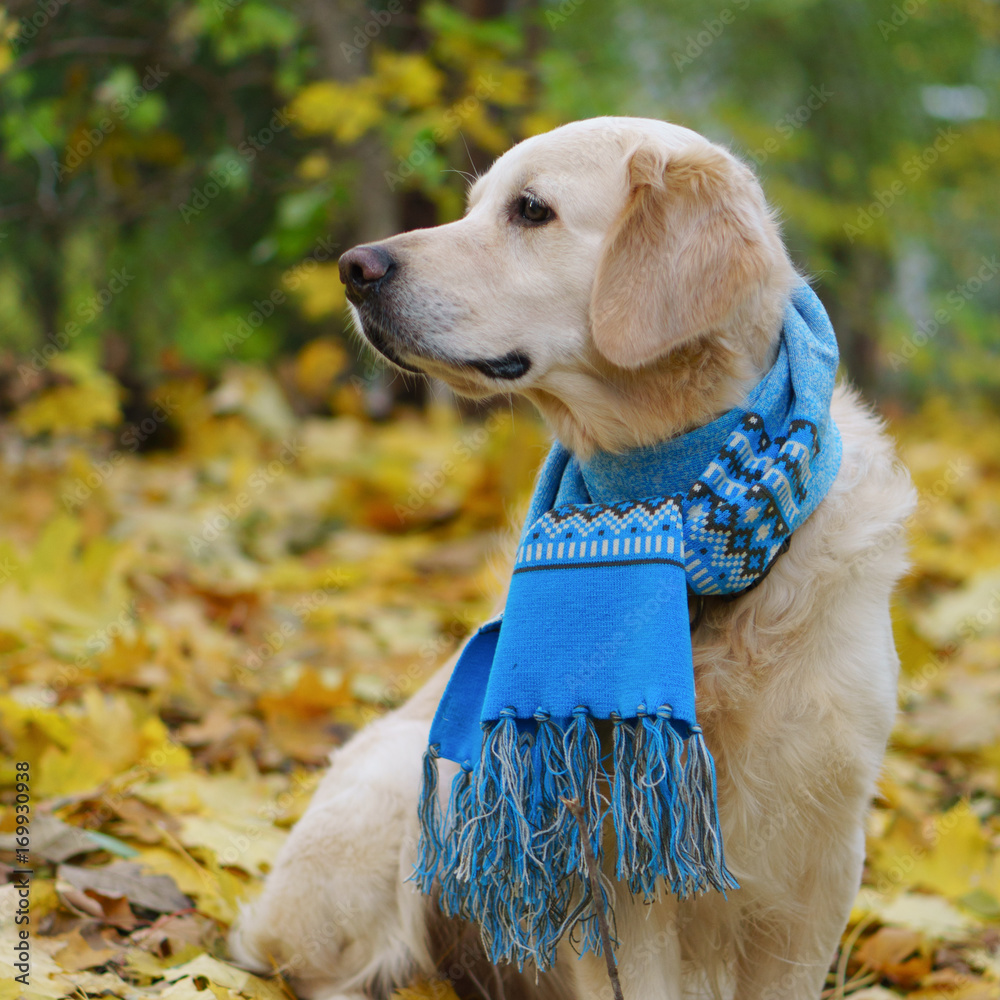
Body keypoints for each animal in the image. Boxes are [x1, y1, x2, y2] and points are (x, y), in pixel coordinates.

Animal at [229, 119, 916, 1000]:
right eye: (472, 206)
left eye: (531, 210)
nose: (355, 267)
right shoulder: (603, 862)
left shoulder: (820, 856)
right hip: (399, 790)